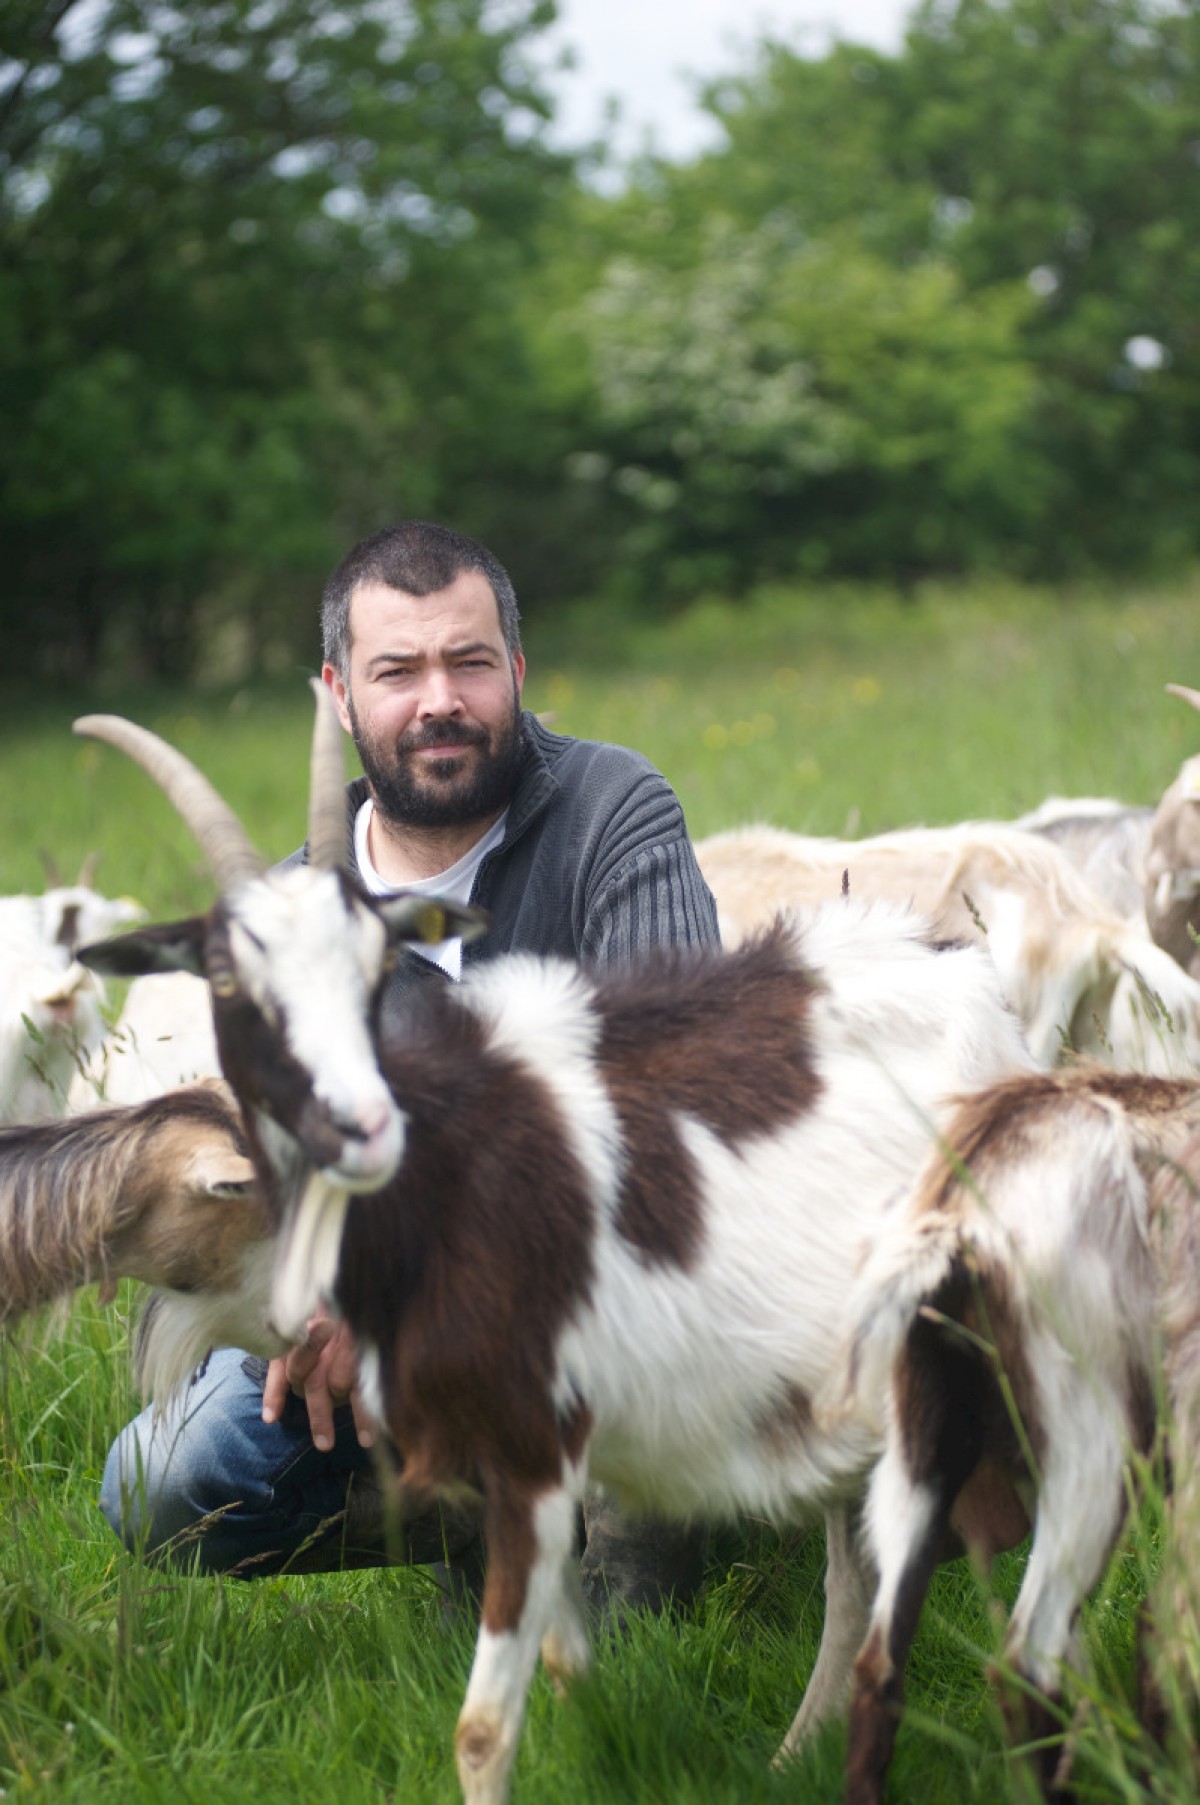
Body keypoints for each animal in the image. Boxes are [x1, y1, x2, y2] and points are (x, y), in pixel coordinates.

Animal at [70, 678, 1032, 1805]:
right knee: (855, 1561)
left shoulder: (536, 1437)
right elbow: (566, 1663)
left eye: (374, 967)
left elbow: (481, 1728)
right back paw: (800, 1747)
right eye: (226, 977)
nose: (359, 1121)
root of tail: (968, 983)